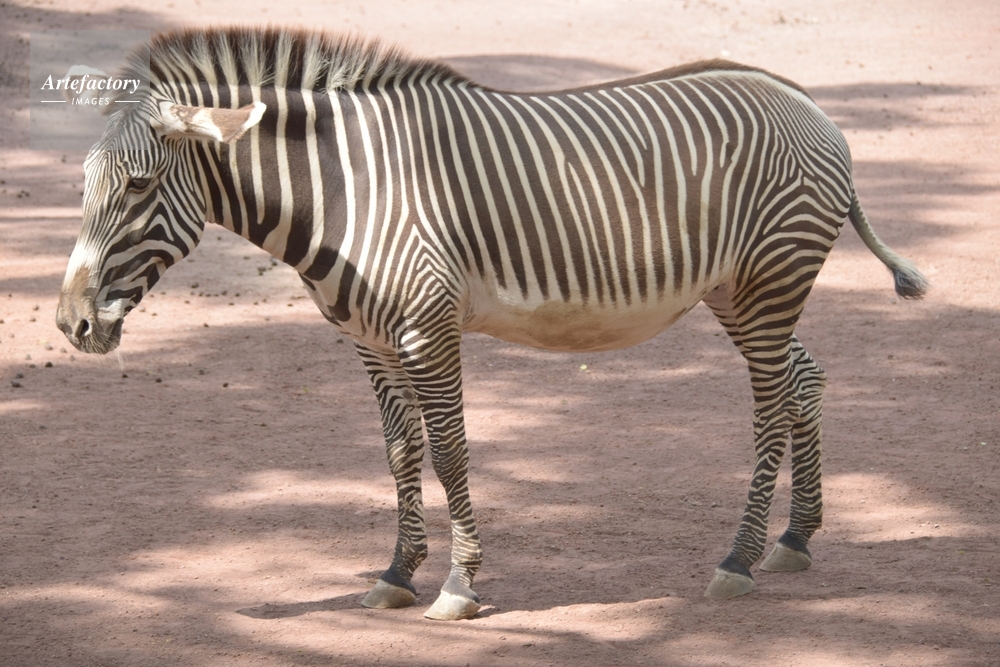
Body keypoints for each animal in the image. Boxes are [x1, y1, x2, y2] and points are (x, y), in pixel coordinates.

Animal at [55, 28, 928, 621]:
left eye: (138, 187)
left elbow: (448, 450)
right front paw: (396, 572)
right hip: (740, 291)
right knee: (804, 378)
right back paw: (795, 538)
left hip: (772, 277)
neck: (344, 191)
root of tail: (801, 97)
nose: (70, 322)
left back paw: (739, 557)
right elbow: (400, 452)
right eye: (86, 182)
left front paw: (459, 583)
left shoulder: (426, 326)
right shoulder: (370, 340)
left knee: (771, 404)